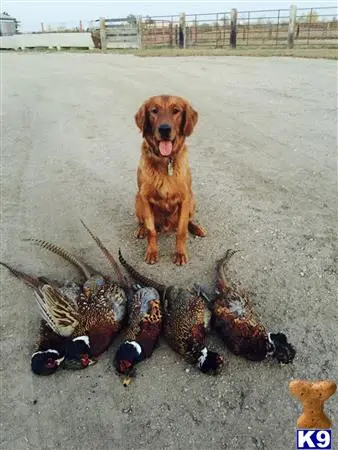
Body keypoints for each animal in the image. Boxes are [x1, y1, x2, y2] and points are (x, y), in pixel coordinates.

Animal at [134, 94, 206, 264]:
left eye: (176, 111)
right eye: (154, 111)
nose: (164, 129)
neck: (165, 161)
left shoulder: (185, 199)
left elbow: (181, 231)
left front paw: (179, 254)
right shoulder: (145, 198)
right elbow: (151, 230)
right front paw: (152, 252)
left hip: (192, 200)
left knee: (188, 222)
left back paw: (197, 228)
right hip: (137, 200)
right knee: (143, 222)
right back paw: (140, 230)